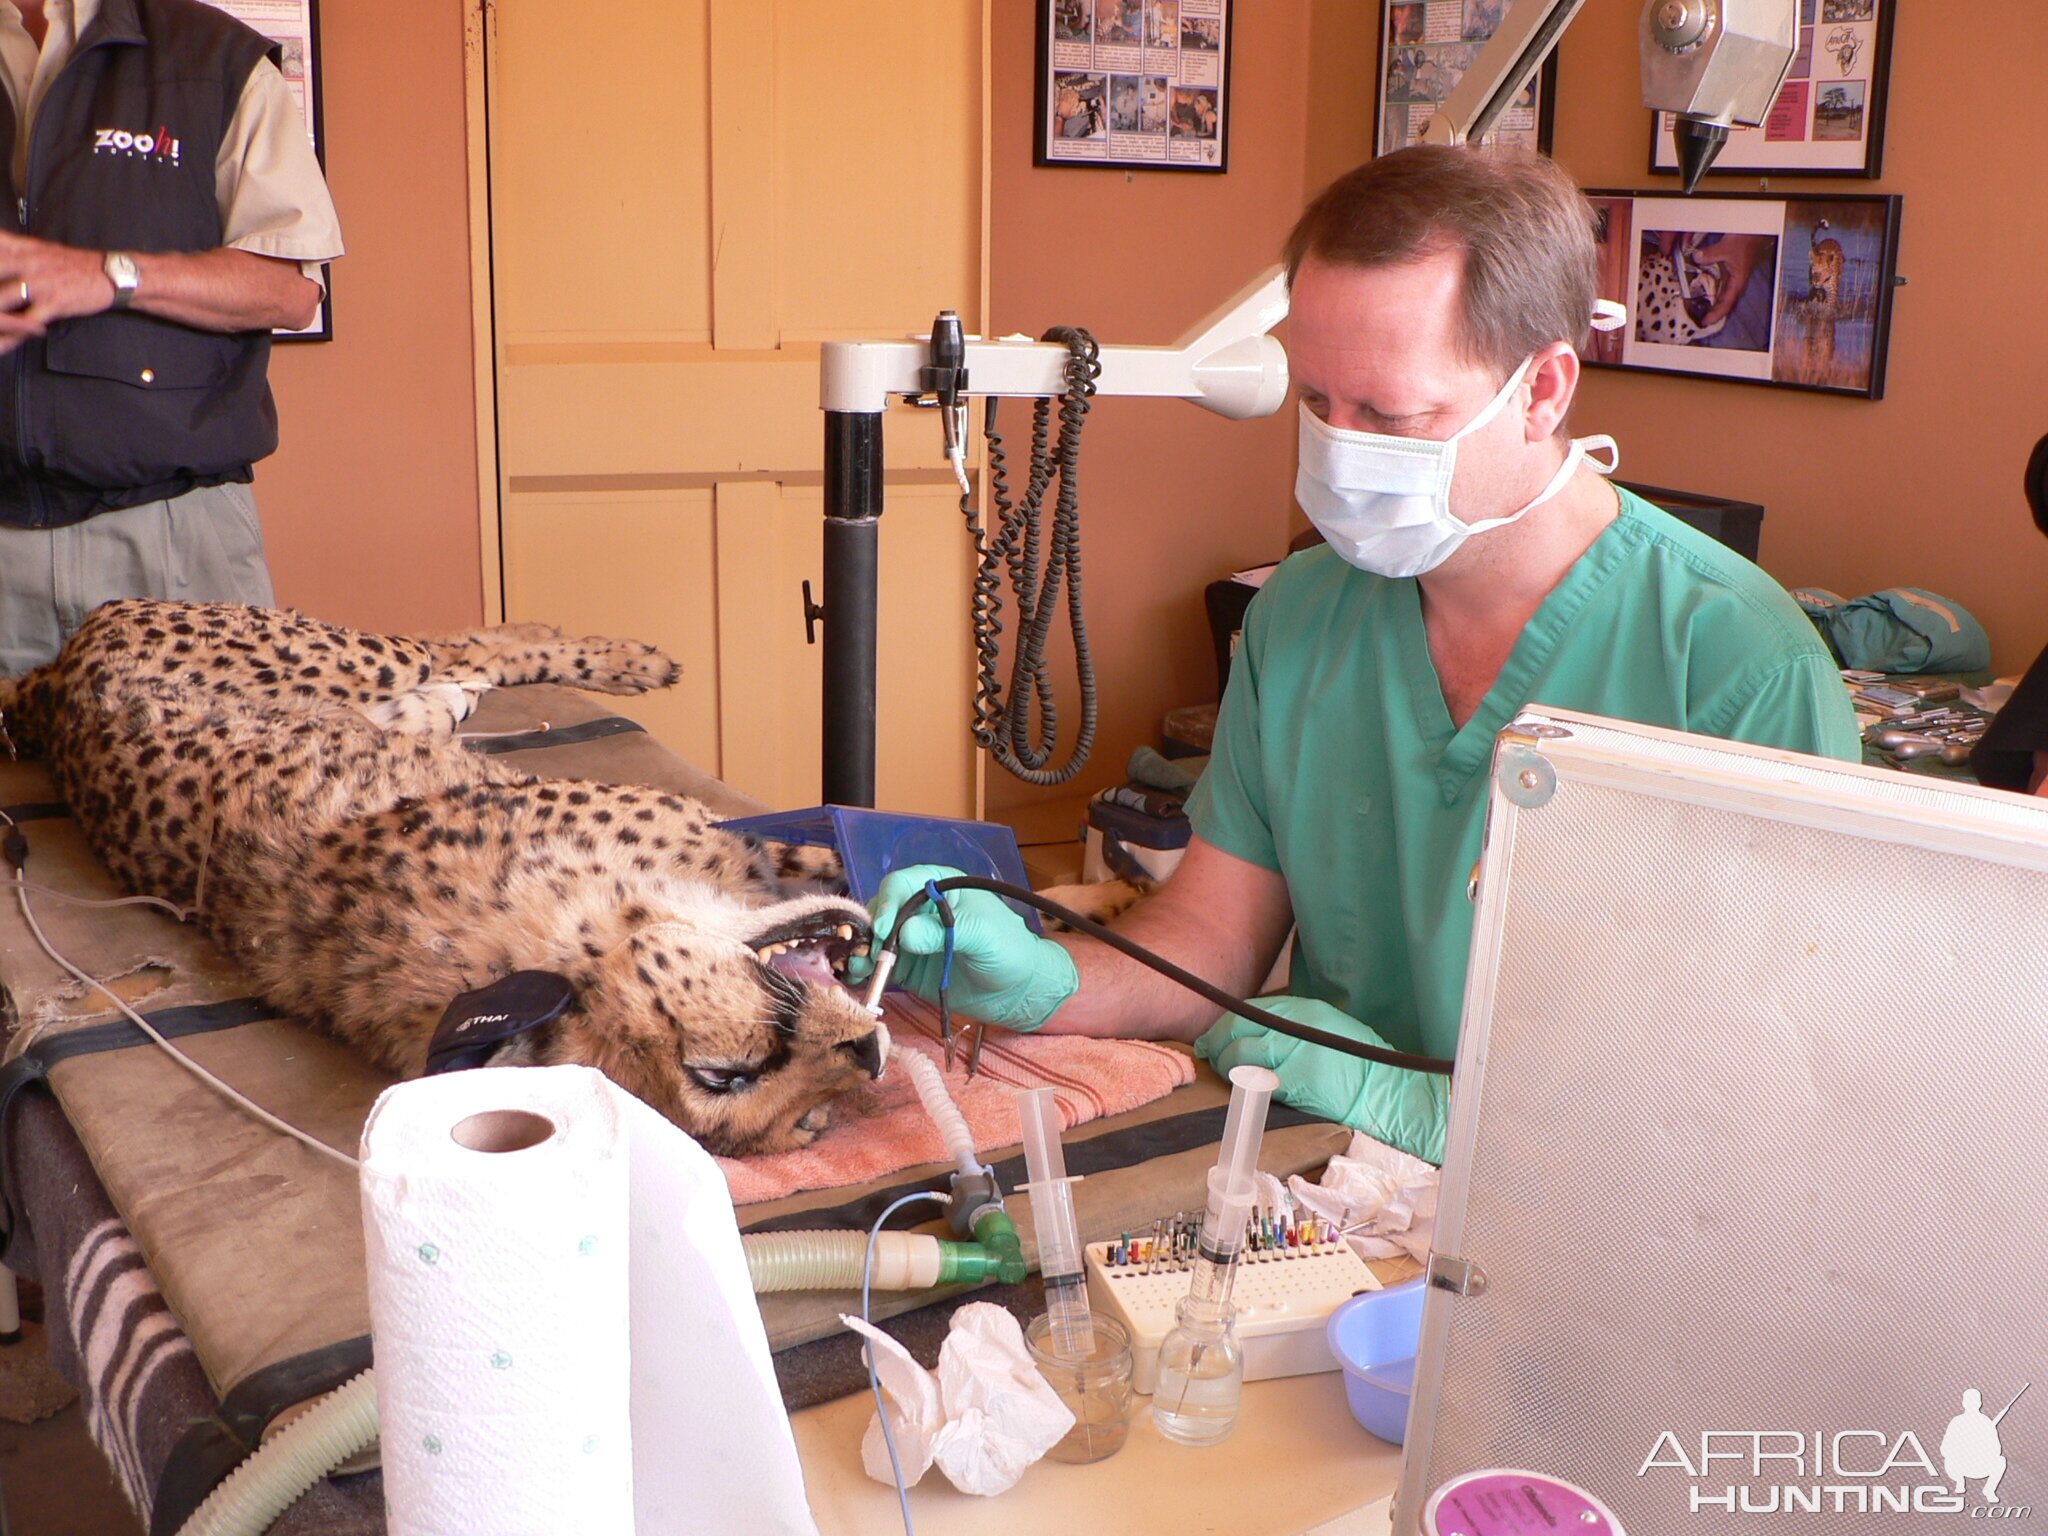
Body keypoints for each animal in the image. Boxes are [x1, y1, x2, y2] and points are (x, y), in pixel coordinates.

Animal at [6, 602, 888, 1155]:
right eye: (731, 1080)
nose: (874, 1052)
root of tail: (52, 678)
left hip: (355, 658)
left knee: (460, 642)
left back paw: (597, 660)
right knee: (464, 652)